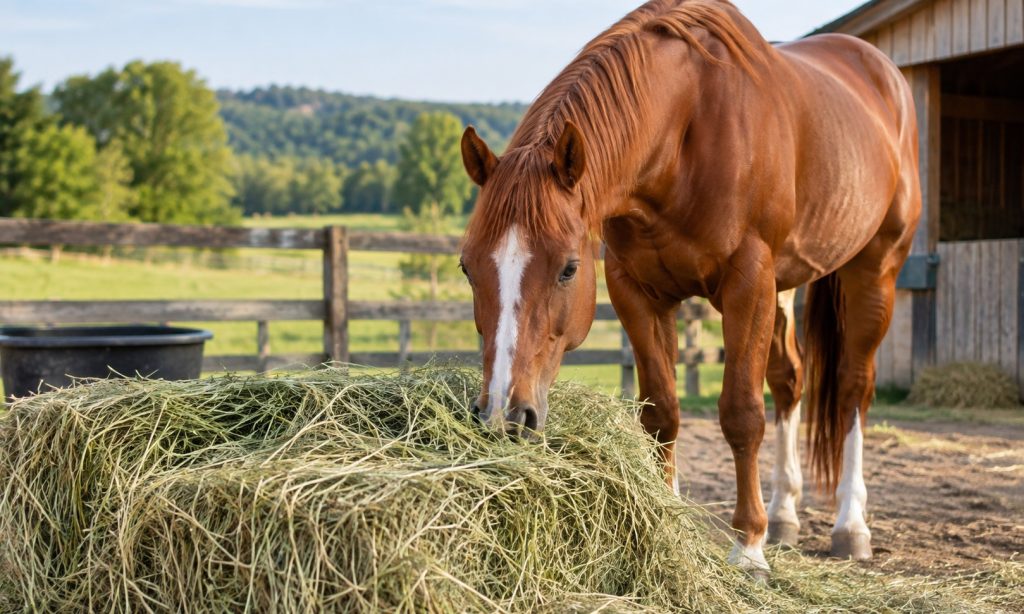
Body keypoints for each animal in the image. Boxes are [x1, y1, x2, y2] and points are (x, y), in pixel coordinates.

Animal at [458, 0, 920, 577]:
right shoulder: (637, 291)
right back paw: (785, 514)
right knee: (790, 381)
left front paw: (748, 549)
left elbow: (741, 414)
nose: (504, 416)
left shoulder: (747, 284)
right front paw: (672, 521)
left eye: (568, 268)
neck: (684, 130)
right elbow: (661, 412)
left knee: (854, 387)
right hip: (785, 287)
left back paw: (849, 526)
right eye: (467, 268)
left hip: (874, 269)